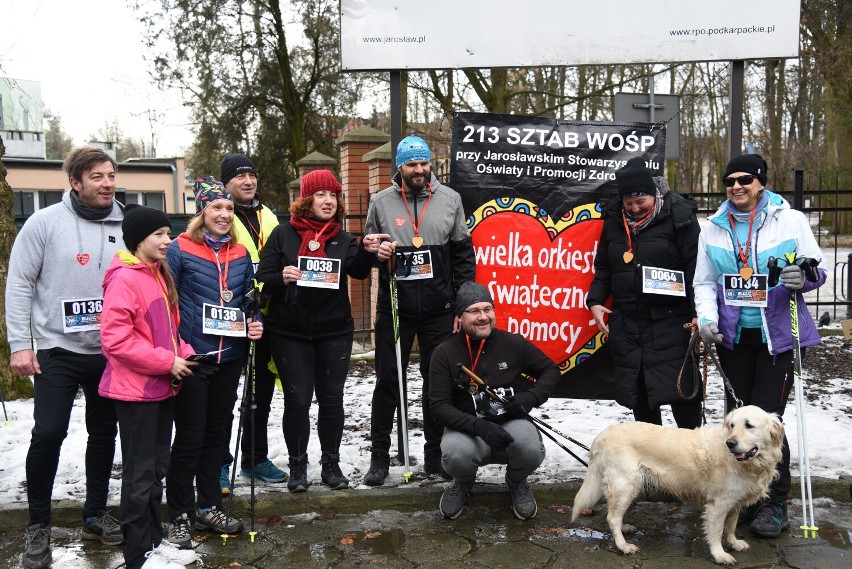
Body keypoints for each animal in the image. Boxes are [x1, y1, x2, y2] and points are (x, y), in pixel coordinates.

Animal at [572, 404, 784, 564]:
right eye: (732, 425)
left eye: (749, 425)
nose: (730, 443)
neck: (752, 464)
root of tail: (601, 435)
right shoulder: (718, 504)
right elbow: (716, 531)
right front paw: (720, 555)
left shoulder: (735, 501)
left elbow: (730, 526)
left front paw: (734, 542)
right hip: (626, 484)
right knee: (612, 517)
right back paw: (623, 545)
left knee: (615, 515)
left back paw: (625, 528)